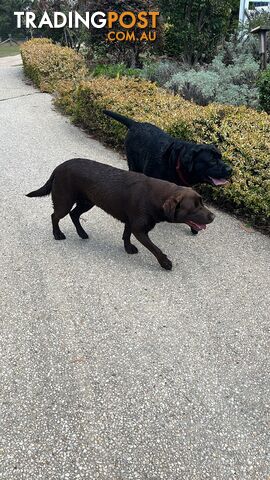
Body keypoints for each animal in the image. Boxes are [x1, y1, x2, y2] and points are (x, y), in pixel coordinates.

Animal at [26, 158, 214, 270]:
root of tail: (59, 167)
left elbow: (126, 235)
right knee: (55, 216)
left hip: (88, 202)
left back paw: (82, 233)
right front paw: (165, 262)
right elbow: (155, 248)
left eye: (202, 202)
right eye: (194, 207)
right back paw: (57, 234)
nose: (213, 216)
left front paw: (127, 248)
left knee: (74, 215)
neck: (156, 197)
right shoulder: (139, 229)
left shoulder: (131, 222)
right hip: (65, 201)